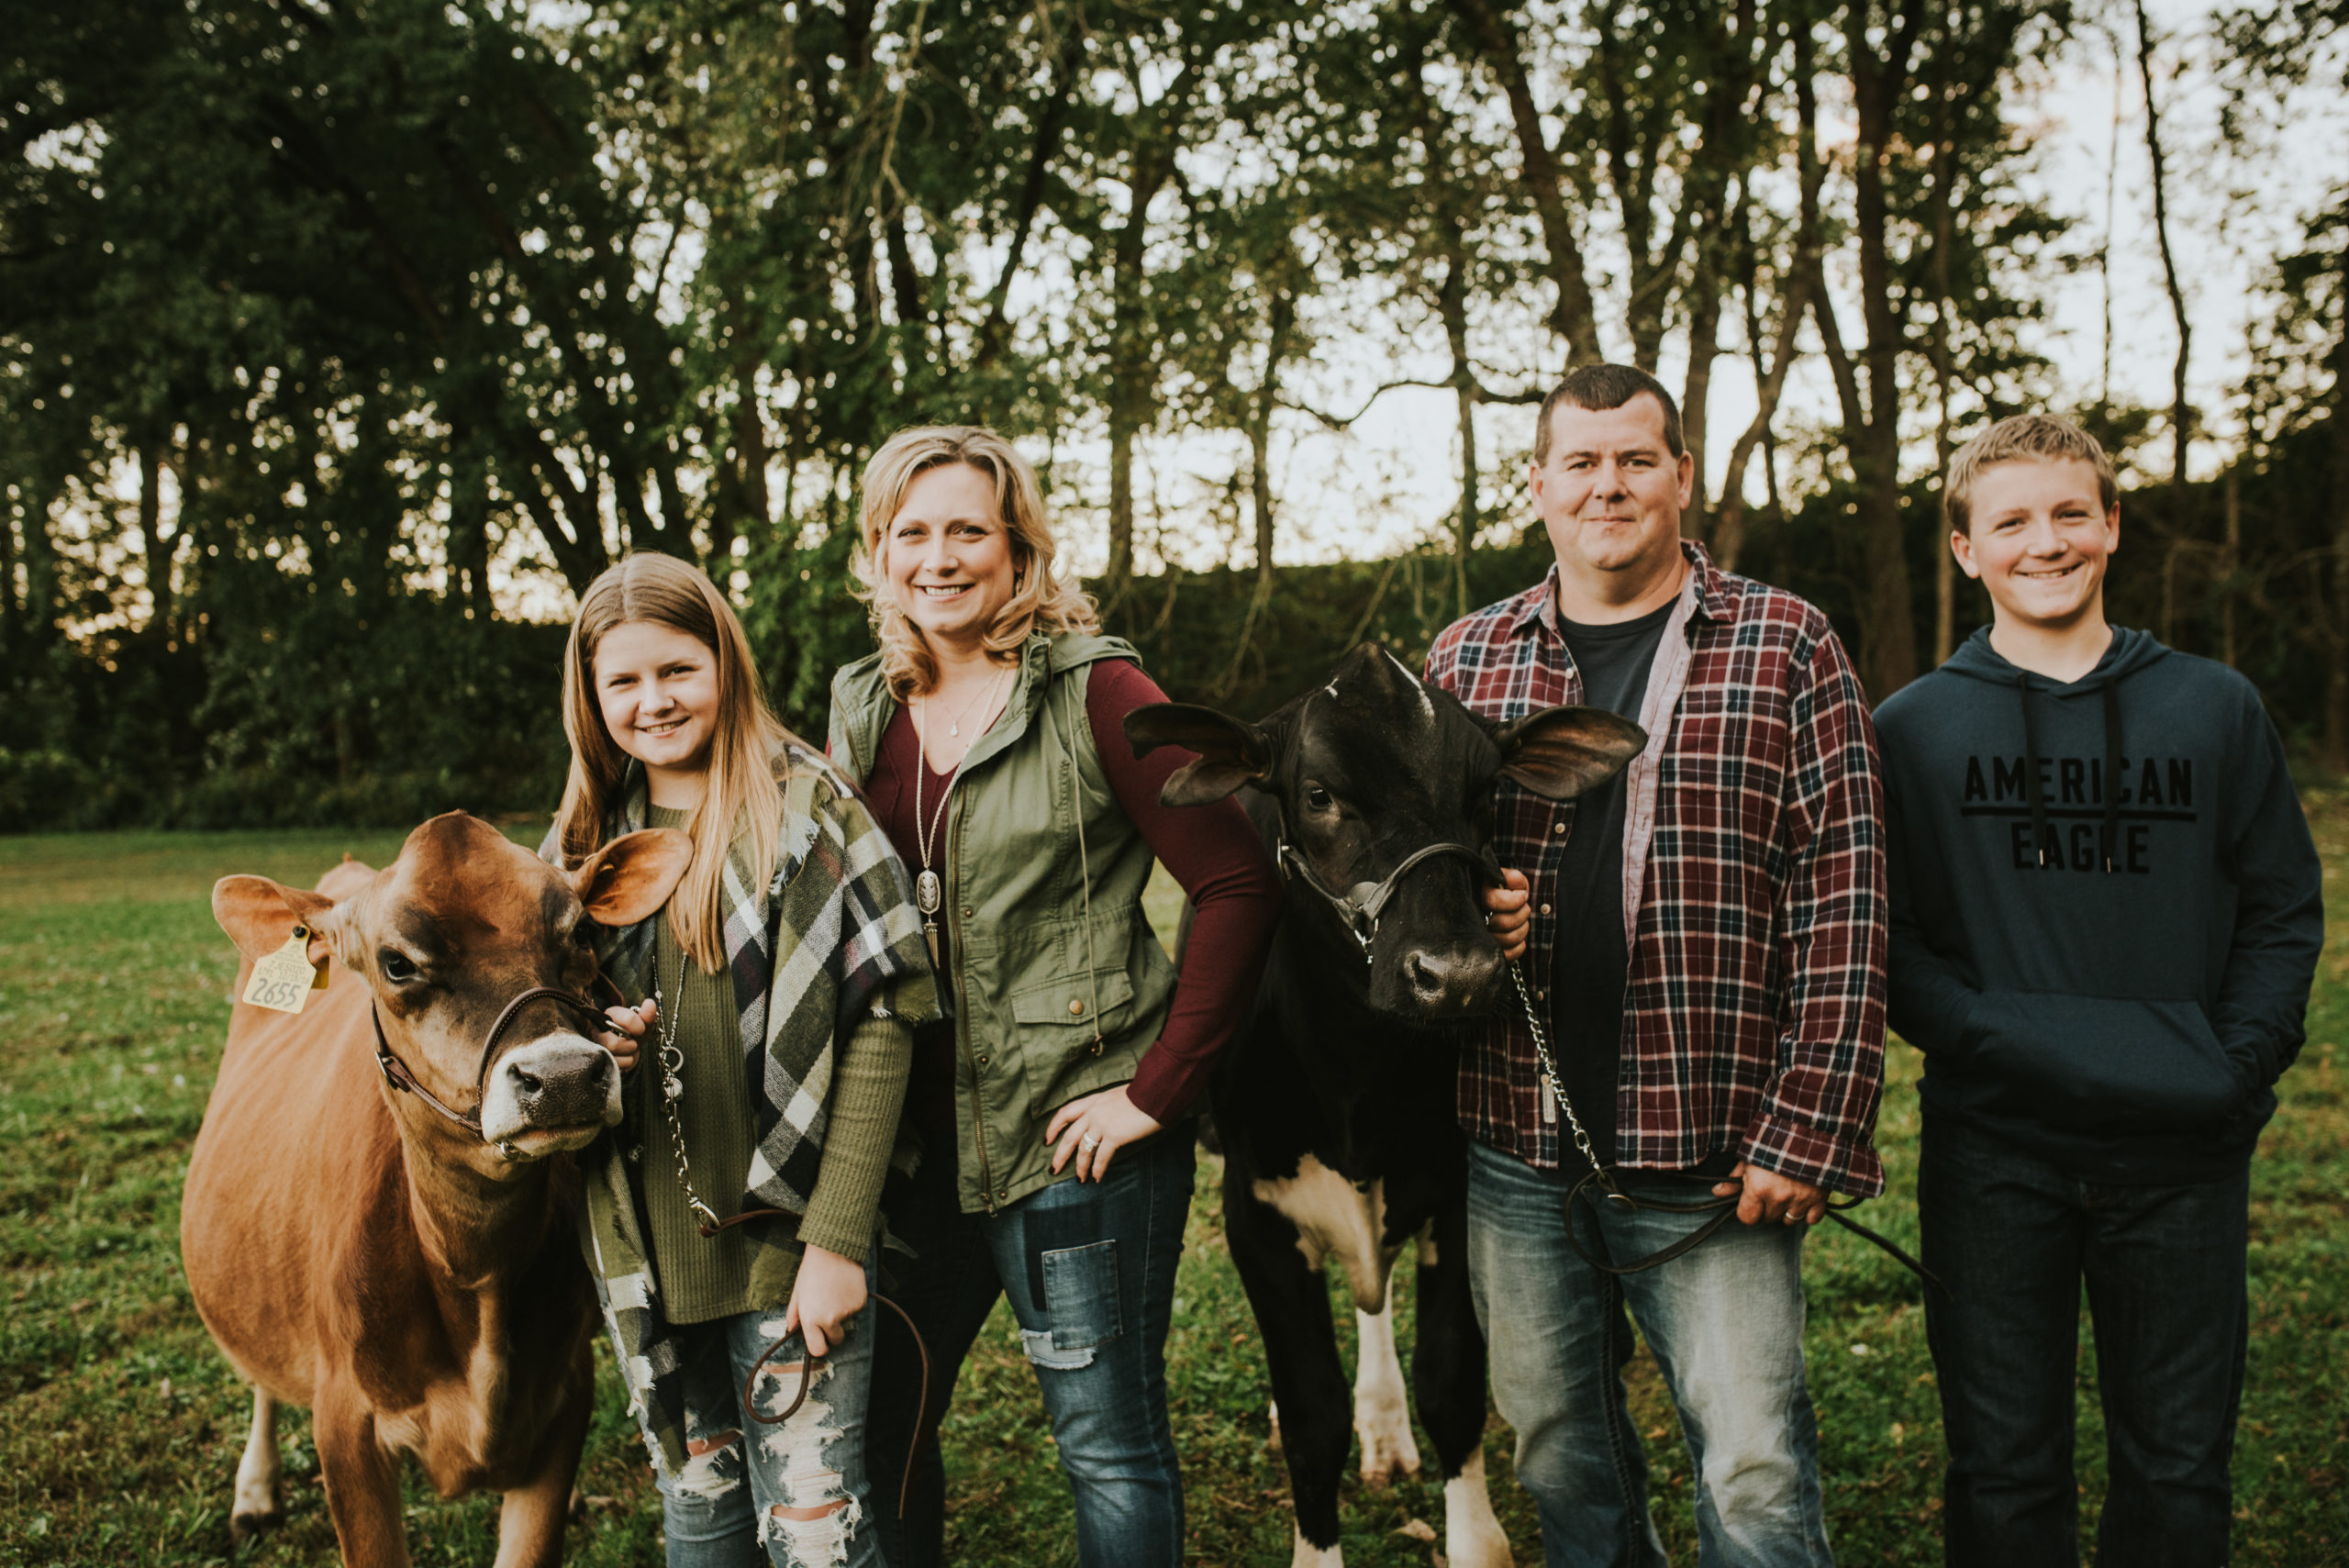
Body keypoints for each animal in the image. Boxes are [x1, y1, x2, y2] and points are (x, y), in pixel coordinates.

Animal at [186, 817, 685, 1558]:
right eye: (397, 963)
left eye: (579, 933)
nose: (564, 1075)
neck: (472, 1273)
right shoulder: (346, 1424)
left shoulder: (565, 1396)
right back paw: (255, 1492)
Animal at [1127, 642, 1644, 1558]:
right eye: (1319, 794)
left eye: (1484, 793)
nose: (1457, 974)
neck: (1354, 1081)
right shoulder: (1256, 1215)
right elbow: (1312, 1416)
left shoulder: (1455, 1196)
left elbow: (1451, 1387)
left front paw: (1472, 1533)